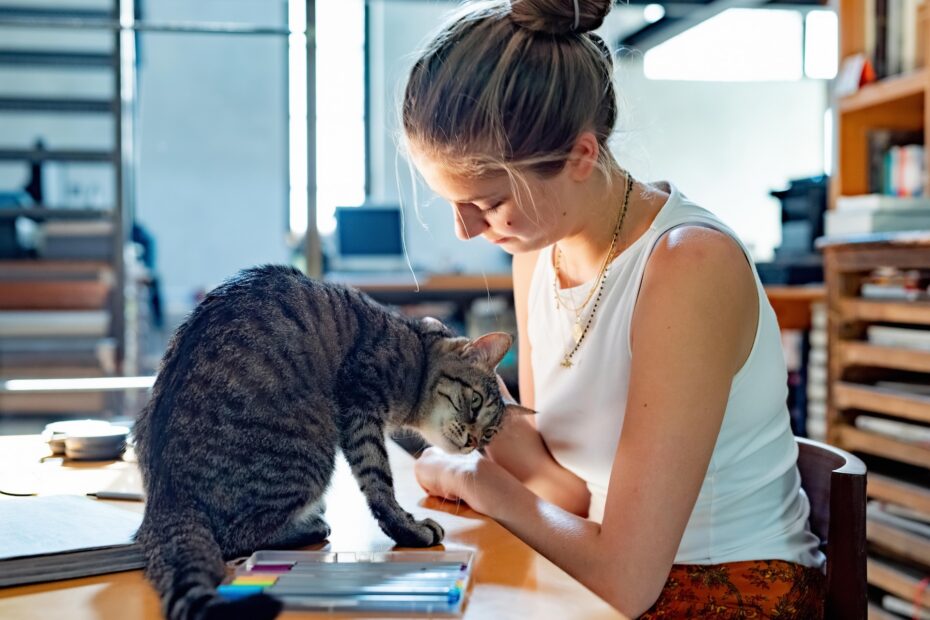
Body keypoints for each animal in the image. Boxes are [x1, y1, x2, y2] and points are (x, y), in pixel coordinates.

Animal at [132, 264, 528, 616]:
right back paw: (308, 525)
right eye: (474, 403)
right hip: (312, 448)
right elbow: (380, 483)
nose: (472, 441)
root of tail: (165, 496)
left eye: (489, 435)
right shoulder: (360, 405)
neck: (416, 351)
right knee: (234, 538)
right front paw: (409, 528)